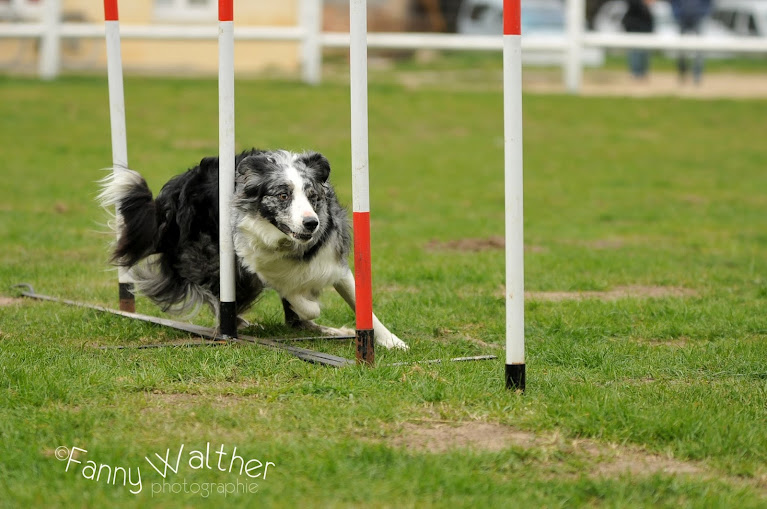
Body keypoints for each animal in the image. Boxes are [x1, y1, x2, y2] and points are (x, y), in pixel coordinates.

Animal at [97, 147, 408, 350]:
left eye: (312, 196)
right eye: (282, 196)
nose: (311, 223)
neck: (287, 242)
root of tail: (171, 195)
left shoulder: (333, 262)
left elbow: (359, 301)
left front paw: (392, 341)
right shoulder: (254, 261)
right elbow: (298, 298)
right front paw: (310, 303)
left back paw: (326, 330)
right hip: (213, 260)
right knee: (216, 295)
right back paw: (235, 326)